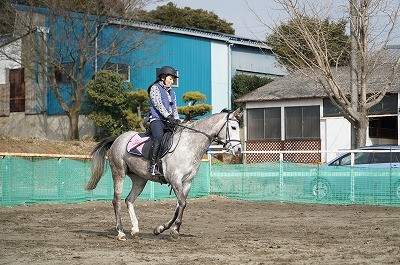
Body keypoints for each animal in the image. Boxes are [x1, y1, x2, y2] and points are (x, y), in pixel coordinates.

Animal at [85, 109, 241, 239]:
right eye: (233, 127)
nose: (238, 150)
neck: (189, 145)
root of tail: (117, 139)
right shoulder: (175, 180)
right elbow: (182, 203)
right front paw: (174, 230)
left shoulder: (187, 183)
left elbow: (179, 206)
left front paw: (161, 229)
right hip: (119, 173)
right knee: (116, 200)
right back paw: (121, 232)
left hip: (139, 180)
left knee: (129, 200)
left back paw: (135, 229)